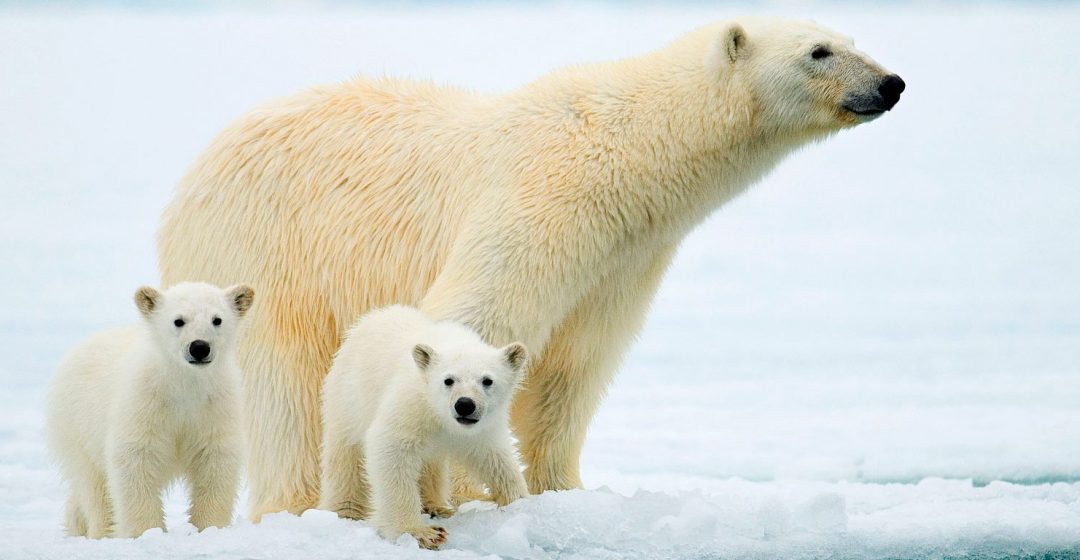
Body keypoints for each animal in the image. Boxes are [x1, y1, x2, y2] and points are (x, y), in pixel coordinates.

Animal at [159, 18, 902, 522]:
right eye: (818, 52)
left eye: (851, 35)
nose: (890, 83)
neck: (628, 155)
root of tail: (192, 175)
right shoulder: (542, 198)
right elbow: (477, 314)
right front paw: (468, 487)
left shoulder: (624, 257)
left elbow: (576, 367)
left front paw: (563, 490)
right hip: (269, 253)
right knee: (285, 389)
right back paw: (301, 504)